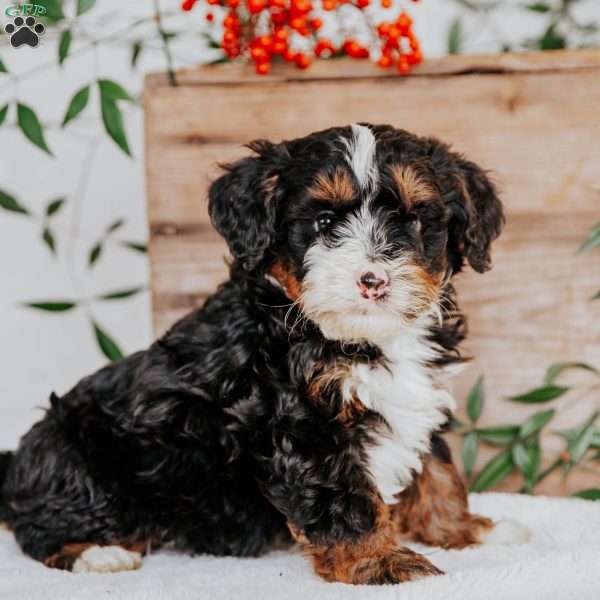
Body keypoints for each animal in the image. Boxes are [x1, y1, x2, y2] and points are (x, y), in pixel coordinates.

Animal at [0, 124, 528, 584]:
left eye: (415, 220)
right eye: (324, 223)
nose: (373, 281)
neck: (356, 337)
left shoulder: (420, 397)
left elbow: (436, 467)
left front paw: (464, 530)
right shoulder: (300, 422)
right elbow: (346, 497)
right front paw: (381, 563)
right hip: (72, 457)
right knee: (38, 525)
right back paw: (96, 553)